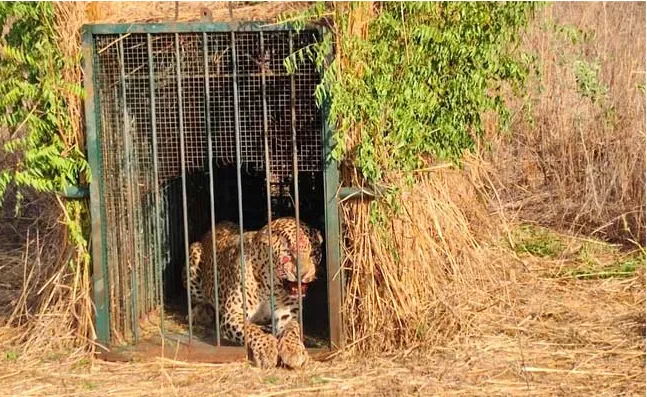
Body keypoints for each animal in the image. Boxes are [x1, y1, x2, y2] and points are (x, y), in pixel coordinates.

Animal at [181, 217, 322, 368]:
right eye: (288, 253)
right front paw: (267, 349)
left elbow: (292, 330)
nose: (303, 274)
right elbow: (251, 329)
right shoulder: (234, 314)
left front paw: (294, 349)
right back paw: (201, 313)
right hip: (193, 252)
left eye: (313, 254)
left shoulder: (288, 316)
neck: (272, 286)